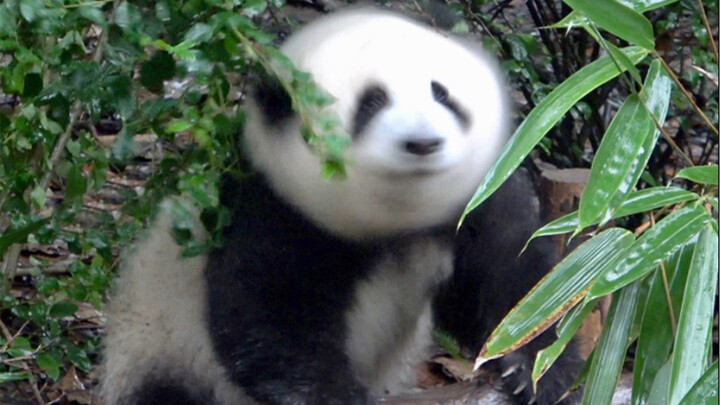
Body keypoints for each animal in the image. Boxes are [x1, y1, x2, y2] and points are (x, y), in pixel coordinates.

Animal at [102, 7, 584, 404]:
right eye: (372, 103)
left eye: (441, 94)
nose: (423, 143)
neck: (398, 218)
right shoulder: (276, 211)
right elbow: (271, 319)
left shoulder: (478, 196)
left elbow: (517, 280)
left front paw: (534, 370)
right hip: (157, 346)